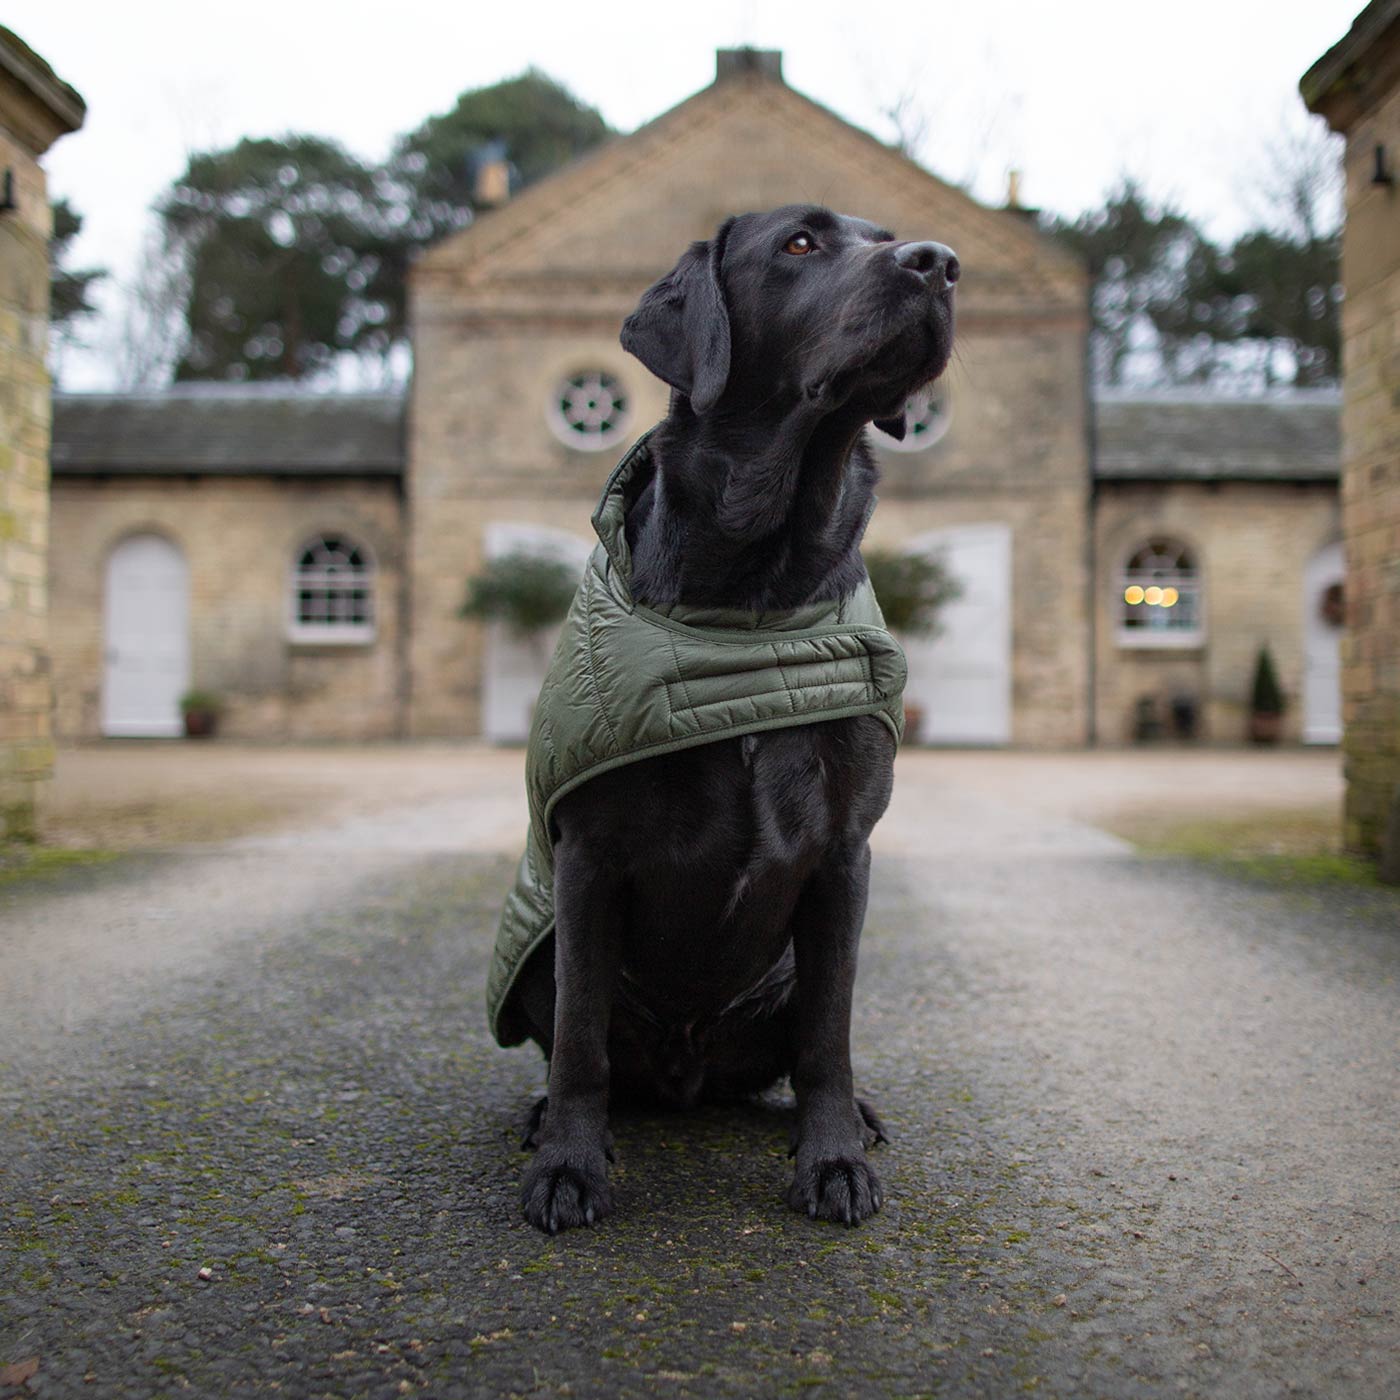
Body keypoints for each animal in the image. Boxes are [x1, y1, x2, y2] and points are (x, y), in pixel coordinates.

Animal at [509, 203, 957, 1232]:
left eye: (887, 233)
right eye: (800, 243)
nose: (943, 264)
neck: (754, 596)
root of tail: (688, 1072)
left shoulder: (844, 854)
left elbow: (830, 1039)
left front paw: (833, 1159)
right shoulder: (588, 858)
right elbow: (579, 1041)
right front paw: (569, 1166)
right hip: (546, 956)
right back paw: (548, 1117)